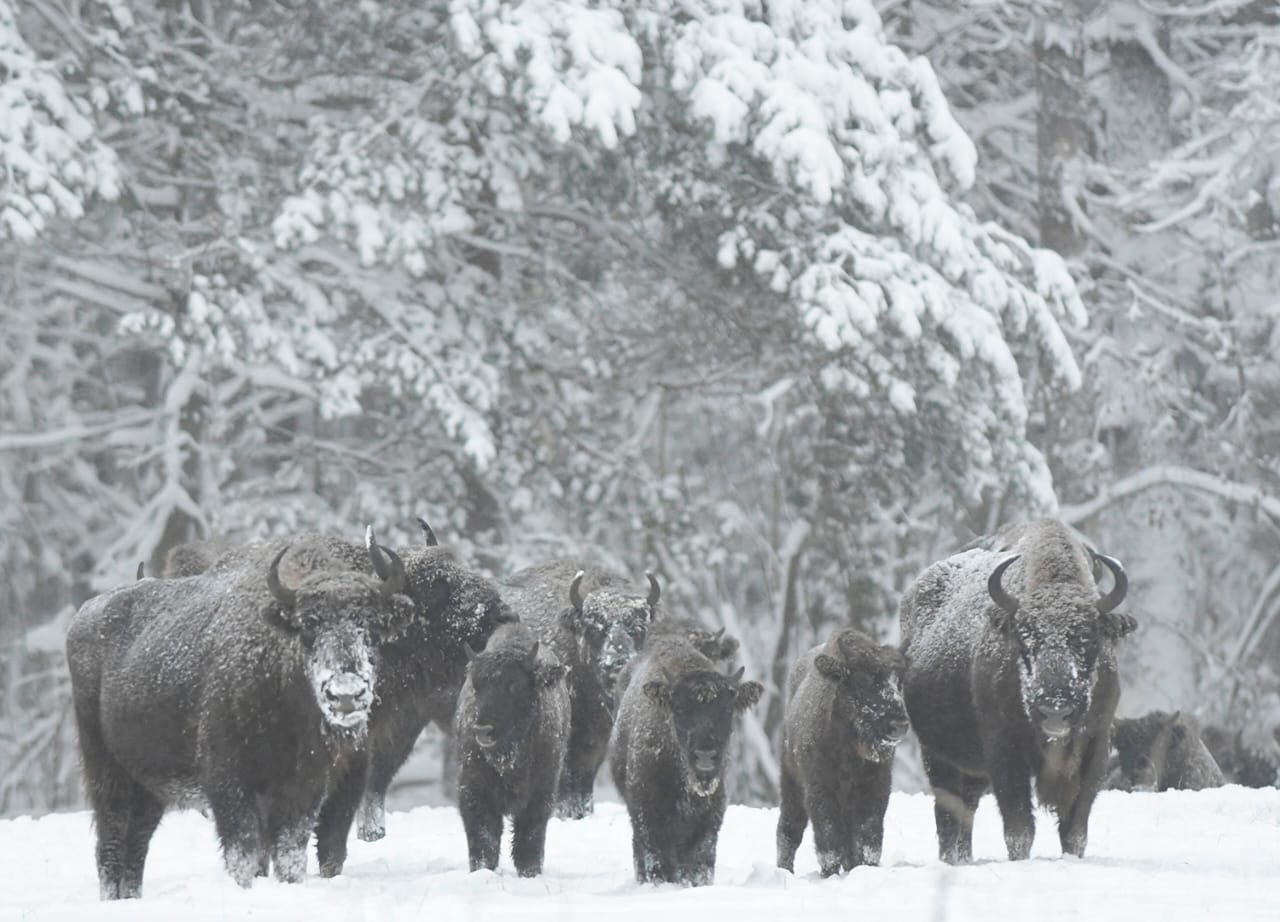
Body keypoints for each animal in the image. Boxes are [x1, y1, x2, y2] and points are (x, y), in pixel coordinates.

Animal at [67, 530, 412, 896]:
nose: (346, 695)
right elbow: (244, 851)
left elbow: (290, 850)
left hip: (149, 785)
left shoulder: (304, 785)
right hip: (106, 770)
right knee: (111, 841)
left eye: (372, 628)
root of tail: (84, 616)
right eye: (308, 627)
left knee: (137, 843)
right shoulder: (229, 782)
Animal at [453, 622, 568, 875]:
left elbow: (529, 837)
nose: (483, 730)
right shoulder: (474, 789)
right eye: (476, 685)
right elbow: (484, 838)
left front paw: (529, 872)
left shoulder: (541, 791)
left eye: (513, 685)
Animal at [778, 630, 911, 875]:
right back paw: (784, 870)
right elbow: (828, 839)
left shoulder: (876, 787)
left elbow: (868, 837)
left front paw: (866, 866)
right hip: (791, 783)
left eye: (899, 681)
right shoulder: (819, 788)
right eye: (864, 679)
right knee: (789, 830)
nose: (899, 724)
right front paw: (830, 872)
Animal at [896, 517, 1136, 865]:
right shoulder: (1005, 751)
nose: (1055, 709)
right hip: (937, 757)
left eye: (1088, 637)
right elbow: (1019, 827)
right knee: (948, 815)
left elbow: (1075, 829)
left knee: (966, 810)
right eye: (1025, 637)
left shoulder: (1095, 745)